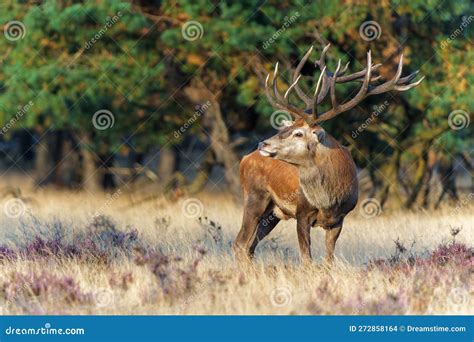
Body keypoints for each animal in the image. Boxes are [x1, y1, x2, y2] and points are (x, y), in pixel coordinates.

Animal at [235, 44, 424, 264]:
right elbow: (306, 259)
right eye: (287, 127)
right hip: (254, 196)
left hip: (273, 213)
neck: (329, 201)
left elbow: (328, 260)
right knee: (240, 243)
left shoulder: (339, 220)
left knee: (249, 246)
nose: (263, 143)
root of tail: (245, 158)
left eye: (298, 133)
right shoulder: (302, 213)